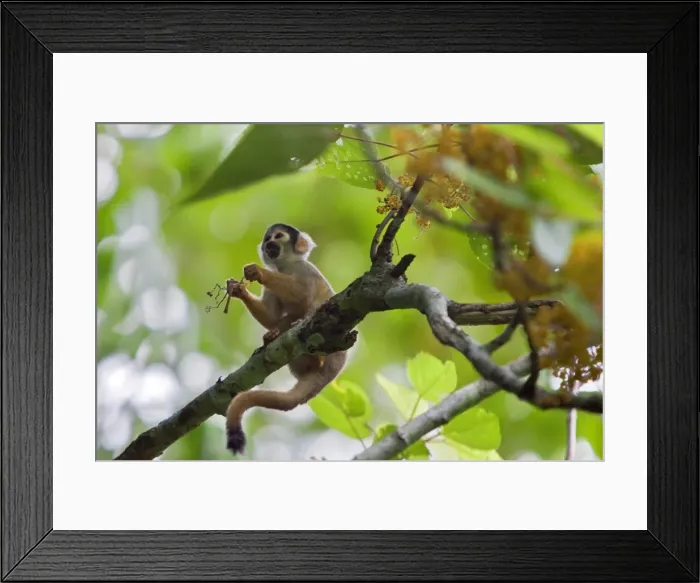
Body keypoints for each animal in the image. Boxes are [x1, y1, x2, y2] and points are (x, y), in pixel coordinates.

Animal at [223, 223, 347, 456]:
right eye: (267, 238)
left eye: (278, 236)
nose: (269, 244)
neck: (287, 266)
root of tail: (330, 373)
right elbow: (271, 316)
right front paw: (237, 289)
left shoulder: (306, 270)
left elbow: (303, 293)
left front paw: (258, 272)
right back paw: (274, 336)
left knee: (313, 308)